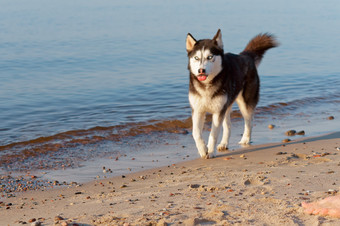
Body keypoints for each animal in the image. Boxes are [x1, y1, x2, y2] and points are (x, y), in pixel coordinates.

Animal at [186, 29, 278, 158]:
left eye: (210, 57)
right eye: (196, 58)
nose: (201, 70)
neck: (207, 85)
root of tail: (245, 55)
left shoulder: (218, 111)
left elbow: (214, 134)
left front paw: (211, 151)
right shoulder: (198, 110)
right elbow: (196, 133)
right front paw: (203, 150)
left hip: (244, 103)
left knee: (249, 122)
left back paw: (245, 139)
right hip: (226, 105)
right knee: (228, 126)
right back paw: (224, 143)